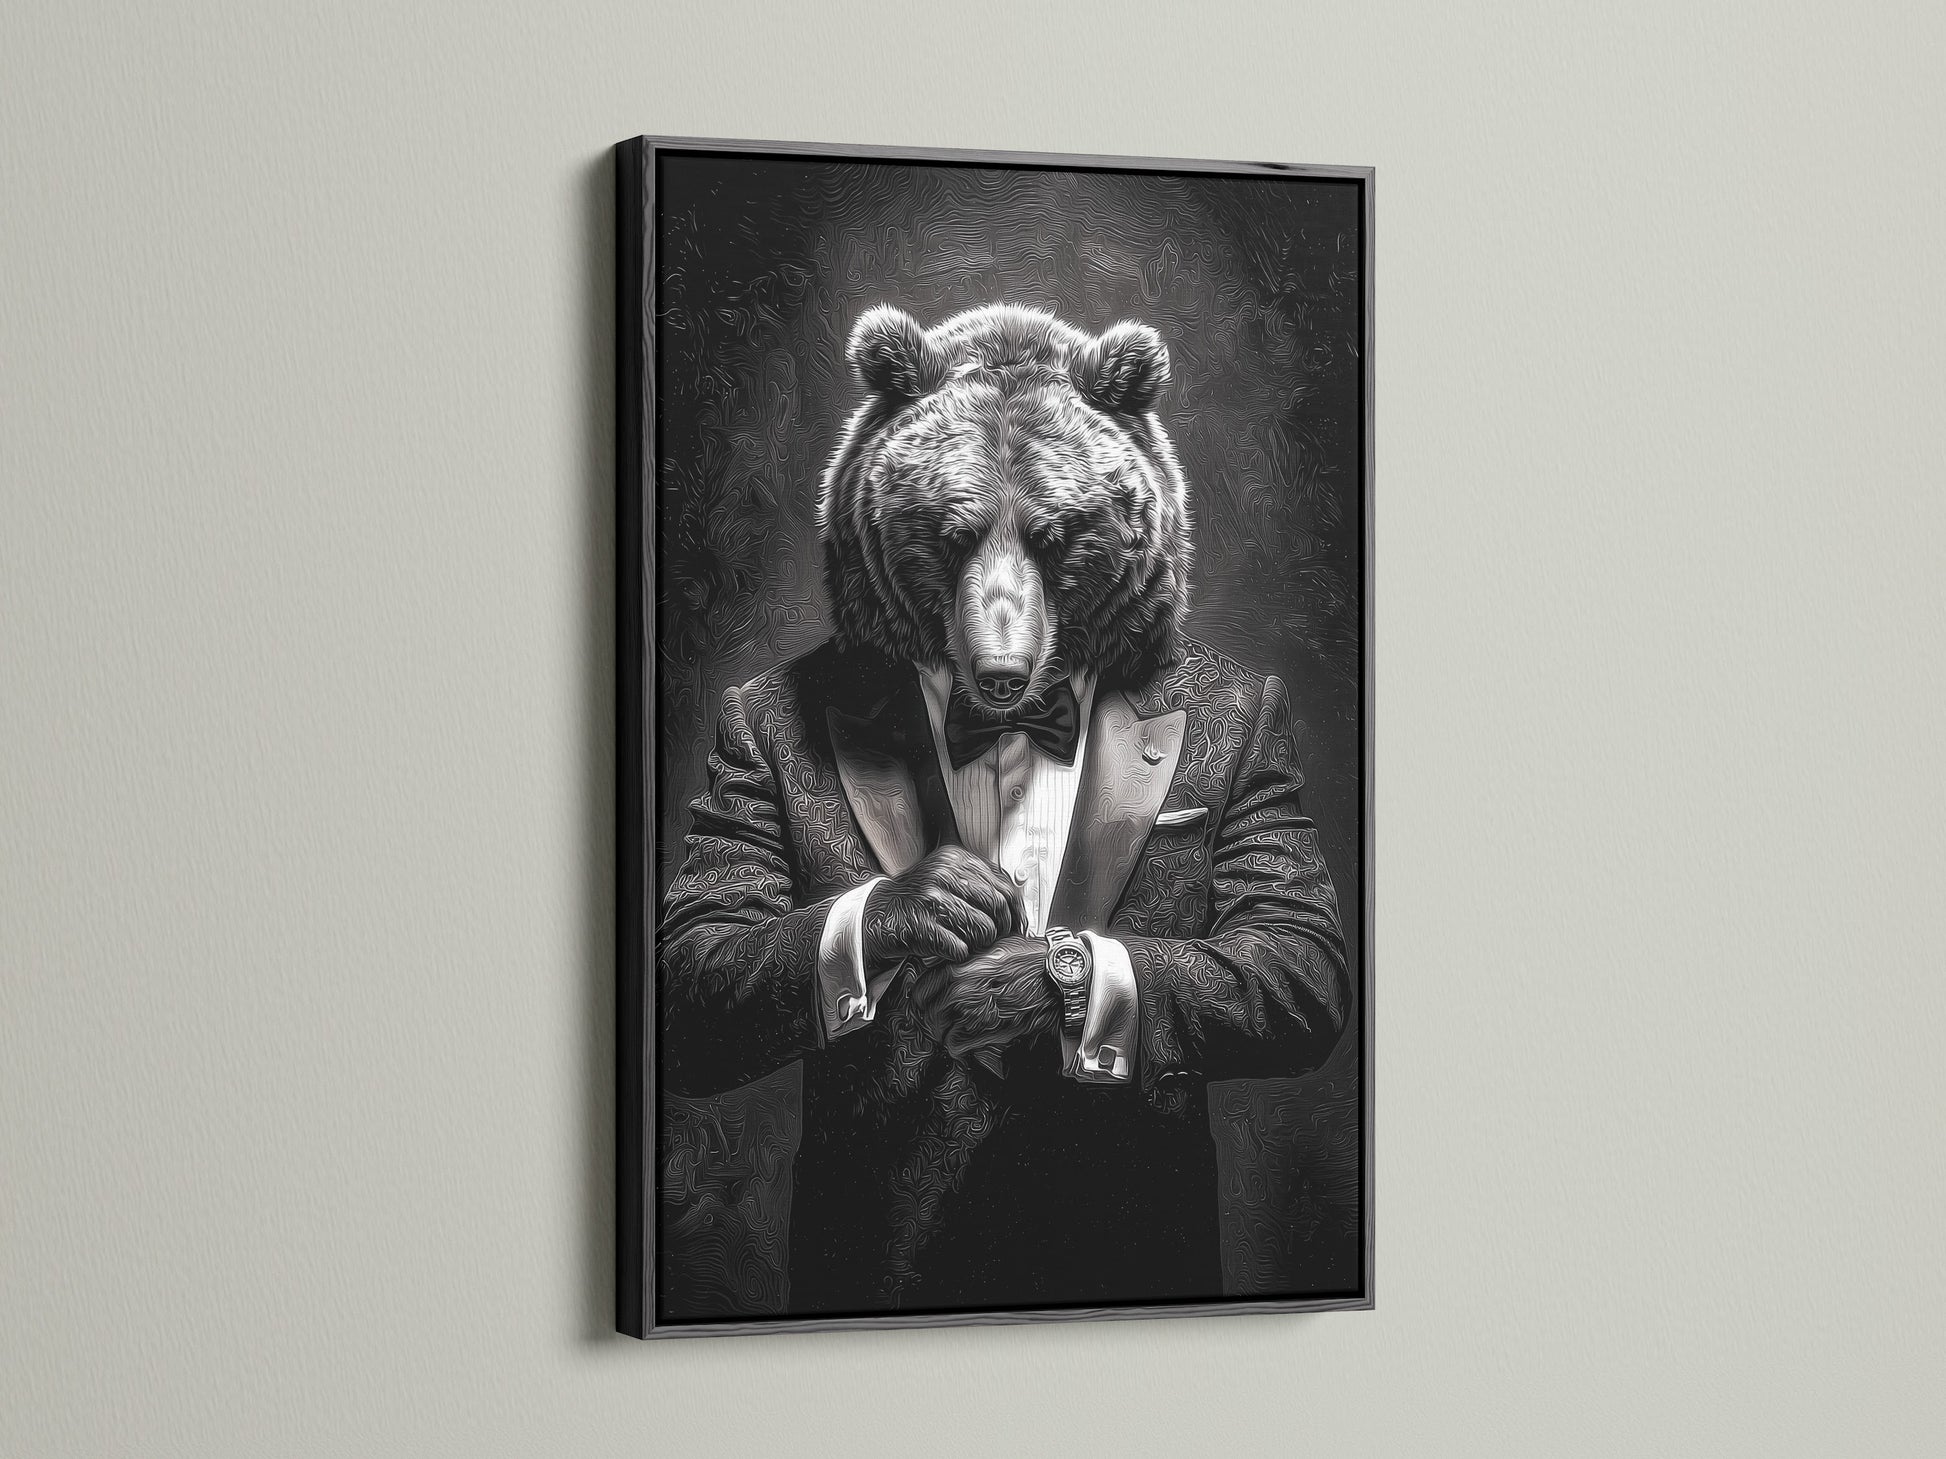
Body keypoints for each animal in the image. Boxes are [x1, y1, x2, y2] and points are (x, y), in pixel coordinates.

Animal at [659, 303, 1348, 1317]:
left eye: (1058, 535)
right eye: (950, 532)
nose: (1000, 675)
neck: (1016, 724)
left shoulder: (1264, 750)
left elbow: (1288, 940)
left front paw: (1011, 977)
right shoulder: (745, 747)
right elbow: (705, 942)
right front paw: (942, 897)